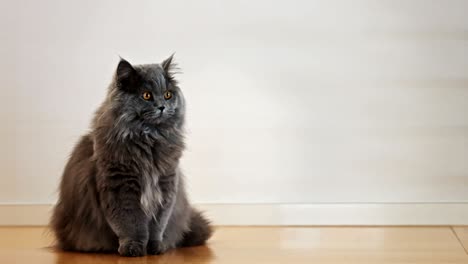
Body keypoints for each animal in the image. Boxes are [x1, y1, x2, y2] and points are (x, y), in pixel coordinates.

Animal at [49, 55, 212, 256]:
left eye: (168, 94)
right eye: (146, 95)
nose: (162, 106)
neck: (149, 139)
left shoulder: (166, 185)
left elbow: (158, 225)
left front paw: (156, 247)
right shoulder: (120, 187)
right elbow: (131, 224)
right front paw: (133, 248)